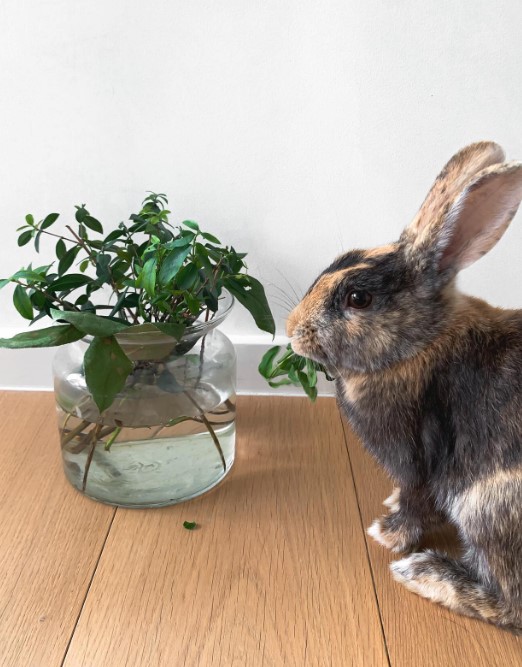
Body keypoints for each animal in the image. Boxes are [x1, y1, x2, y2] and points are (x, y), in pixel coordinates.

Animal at [284, 141, 520, 632]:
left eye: (358, 298)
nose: (291, 330)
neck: (418, 343)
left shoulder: (419, 459)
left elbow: (416, 501)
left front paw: (386, 533)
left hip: (488, 506)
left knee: (509, 602)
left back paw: (422, 573)